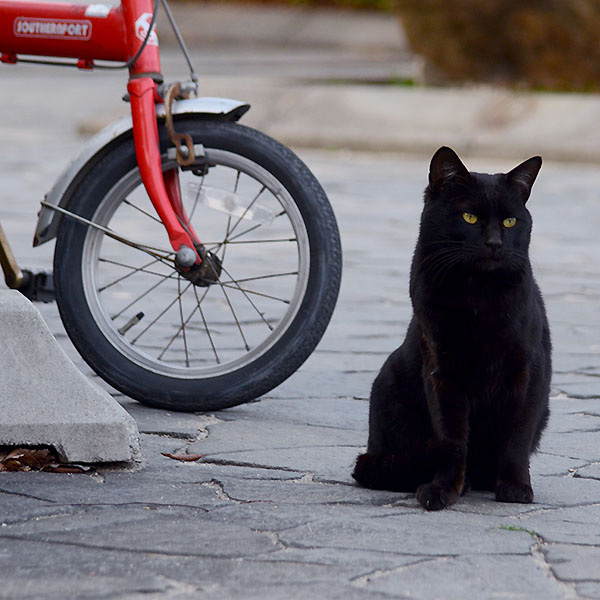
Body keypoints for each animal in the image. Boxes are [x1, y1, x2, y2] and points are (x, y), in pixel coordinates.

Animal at [352, 148, 552, 508]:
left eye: (510, 221)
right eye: (469, 217)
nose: (495, 243)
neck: (477, 294)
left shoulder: (528, 370)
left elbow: (516, 437)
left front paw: (516, 487)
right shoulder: (441, 370)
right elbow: (452, 439)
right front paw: (443, 489)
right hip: (389, 380)